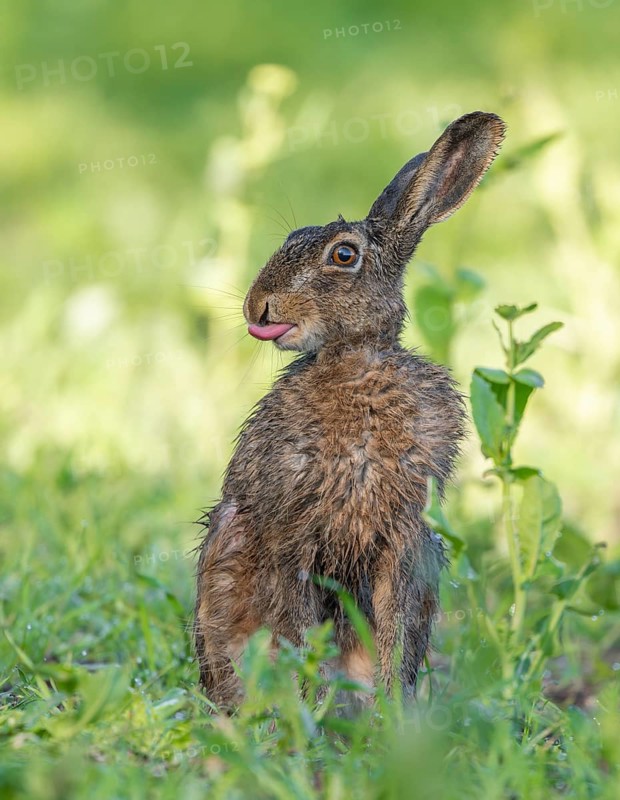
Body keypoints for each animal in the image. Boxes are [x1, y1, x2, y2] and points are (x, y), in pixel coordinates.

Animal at [194, 111, 506, 710]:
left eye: (343, 255)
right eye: (288, 240)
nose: (256, 305)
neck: (356, 366)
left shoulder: (404, 540)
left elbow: (392, 634)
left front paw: (392, 713)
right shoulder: (293, 535)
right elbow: (298, 631)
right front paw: (309, 708)